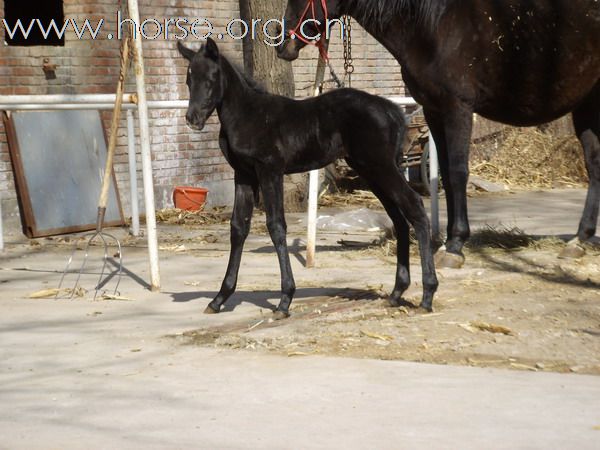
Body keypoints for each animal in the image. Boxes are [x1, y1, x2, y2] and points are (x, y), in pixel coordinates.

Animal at [180, 39, 438, 320]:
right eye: (189, 79)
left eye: (212, 78)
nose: (192, 119)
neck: (248, 114)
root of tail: (392, 110)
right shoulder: (244, 174)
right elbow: (238, 227)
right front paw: (219, 298)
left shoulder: (270, 171)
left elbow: (276, 226)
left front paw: (284, 300)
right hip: (371, 171)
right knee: (399, 219)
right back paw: (397, 291)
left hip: (381, 167)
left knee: (414, 205)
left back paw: (427, 295)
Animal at [276, 0, 600, 268]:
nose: (282, 44)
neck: (433, 26)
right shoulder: (434, 110)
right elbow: (443, 170)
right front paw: (449, 241)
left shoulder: (458, 107)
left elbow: (457, 172)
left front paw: (454, 246)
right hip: (587, 107)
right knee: (594, 165)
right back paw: (579, 241)